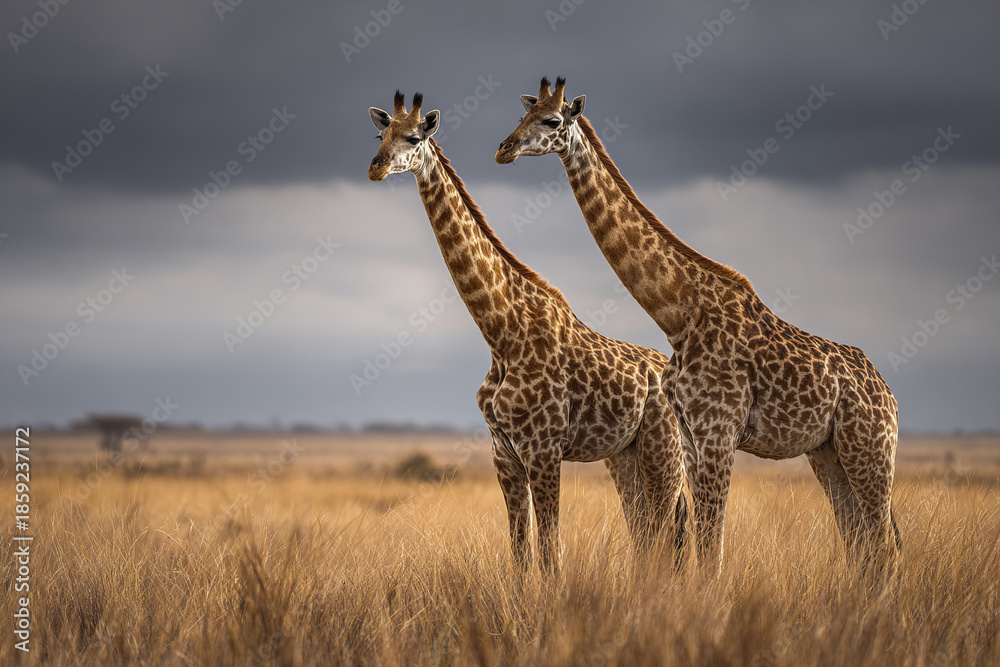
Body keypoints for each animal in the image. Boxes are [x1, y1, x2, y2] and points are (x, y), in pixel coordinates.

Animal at [368, 91, 688, 574]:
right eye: (379, 135)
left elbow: (551, 552)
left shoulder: (543, 449)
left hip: (663, 453)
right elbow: (520, 552)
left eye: (413, 137)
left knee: (669, 534)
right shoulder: (504, 453)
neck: (501, 332)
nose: (376, 167)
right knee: (646, 534)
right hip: (624, 455)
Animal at [496, 78, 901, 575]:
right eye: (521, 115)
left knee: (883, 544)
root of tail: (889, 395)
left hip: (870, 446)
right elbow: (700, 548)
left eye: (552, 120)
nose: (504, 149)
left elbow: (711, 552)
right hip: (828, 452)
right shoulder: (691, 436)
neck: (678, 316)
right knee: (862, 545)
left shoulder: (718, 431)